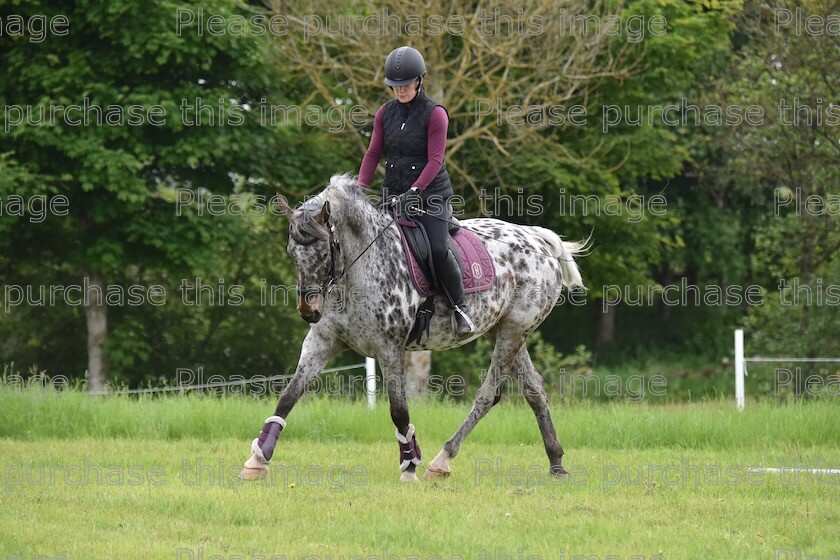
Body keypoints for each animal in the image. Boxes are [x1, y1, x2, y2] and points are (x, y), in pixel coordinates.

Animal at [238, 174, 584, 482]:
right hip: (502, 330)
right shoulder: (322, 342)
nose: (309, 311)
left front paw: (410, 466)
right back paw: (556, 462)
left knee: (489, 394)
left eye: (325, 251)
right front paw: (257, 460)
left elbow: (399, 411)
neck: (358, 270)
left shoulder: (389, 349)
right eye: (291, 253)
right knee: (534, 389)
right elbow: (288, 396)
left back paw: (441, 460)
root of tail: (536, 239)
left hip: (514, 329)